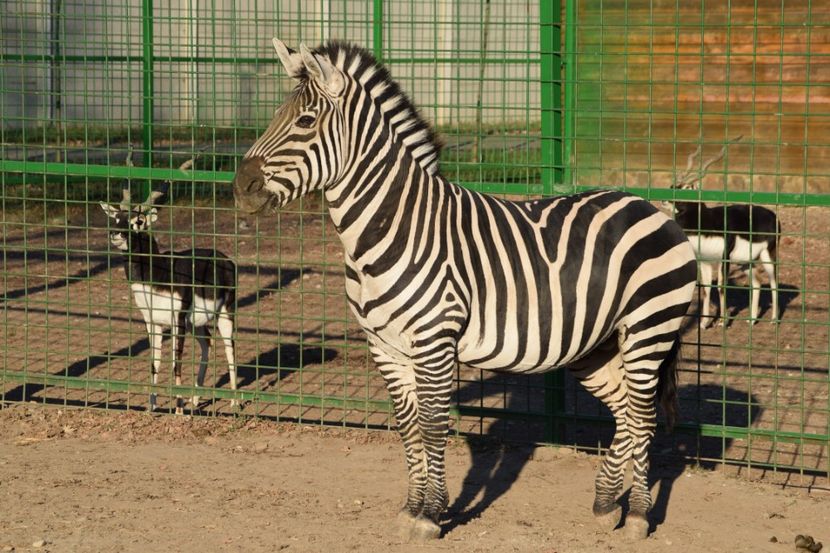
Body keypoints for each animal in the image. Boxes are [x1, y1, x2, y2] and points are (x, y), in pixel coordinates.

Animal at [236, 41, 704, 540]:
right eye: (277, 115)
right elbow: (408, 426)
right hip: (595, 345)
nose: (239, 187)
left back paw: (637, 516)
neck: (393, 228)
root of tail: (650, 206)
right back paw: (604, 504)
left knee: (644, 416)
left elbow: (433, 424)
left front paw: (430, 516)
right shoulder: (385, 346)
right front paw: (411, 508)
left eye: (305, 121)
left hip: (649, 329)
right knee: (625, 413)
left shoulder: (433, 339)